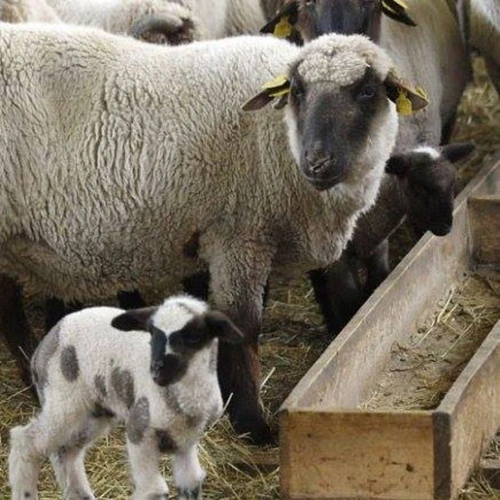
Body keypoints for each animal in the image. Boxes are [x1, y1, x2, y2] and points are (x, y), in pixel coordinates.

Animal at [0, 25, 428, 444]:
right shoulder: (240, 234)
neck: (278, 137)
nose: (317, 161)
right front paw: (252, 424)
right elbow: (243, 322)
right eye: (298, 91)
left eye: (367, 91)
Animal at [7, 294, 242, 500]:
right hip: (63, 400)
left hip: (93, 411)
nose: (156, 371)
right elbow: (153, 490)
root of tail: (42, 347)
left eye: (193, 337)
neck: (181, 402)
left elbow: (192, 482)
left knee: (65, 452)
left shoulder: (186, 441)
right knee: (25, 442)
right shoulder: (139, 429)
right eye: (152, 333)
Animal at [310, 143, 474, 334]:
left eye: (452, 184)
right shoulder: (338, 260)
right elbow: (348, 299)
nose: (446, 227)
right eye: (419, 188)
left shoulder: (378, 245)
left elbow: (377, 280)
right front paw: (343, 327)